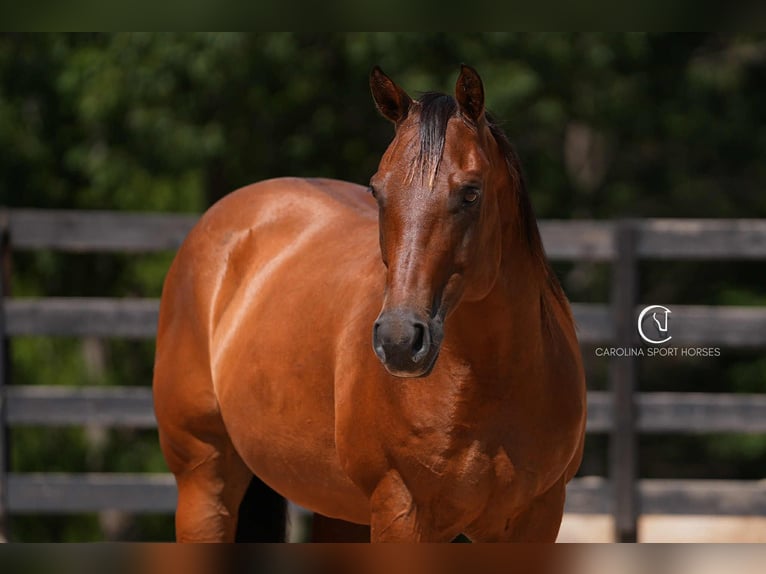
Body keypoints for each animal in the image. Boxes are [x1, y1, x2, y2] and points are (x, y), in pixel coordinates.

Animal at [152, 65, 586, 542]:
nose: (399, 341)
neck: (492, 381)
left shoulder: (537, 518)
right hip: (204, 482)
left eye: (471, 192)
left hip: (340, 512)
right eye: (378, 191)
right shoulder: (402, 510)